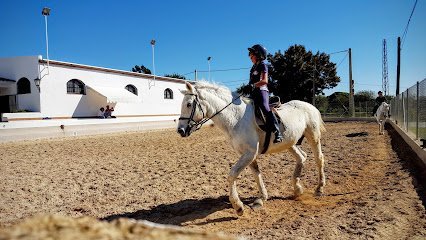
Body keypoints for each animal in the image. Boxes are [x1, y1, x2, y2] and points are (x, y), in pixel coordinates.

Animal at [176, 82, 326, 216]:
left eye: (189, 104)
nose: (180, 130)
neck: (236, 118)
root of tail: (309, 105)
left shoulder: (250, 153)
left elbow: (232, 175)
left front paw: (238, 206)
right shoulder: (248, 154)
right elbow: (256, 174)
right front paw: (261, 198)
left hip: (313, 136)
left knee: (319, 159)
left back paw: (319, 188)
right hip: (290, 142)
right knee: (302, 157)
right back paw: (297, 189)